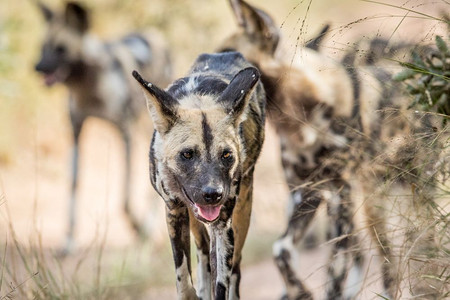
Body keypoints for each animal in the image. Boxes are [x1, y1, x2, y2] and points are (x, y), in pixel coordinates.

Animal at [33, 1, 172, 254]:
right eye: (43, 47)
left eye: (61, 49)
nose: (37, 67)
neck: (88, 87)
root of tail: (155, 36)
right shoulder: (76, 130)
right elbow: (74, 182)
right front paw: (69, 240)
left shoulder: (125, 133)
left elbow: (125, 197)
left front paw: (137, 226)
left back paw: (148, 225)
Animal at [219, 0, 446, 298]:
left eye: (226, 55)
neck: (299, 119)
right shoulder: (306, 194)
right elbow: (281, 251)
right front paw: (299, 291)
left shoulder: (340, 196)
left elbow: (334, 276)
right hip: (372, 204)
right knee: (385, 257)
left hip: (400, 197)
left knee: (407, 249)